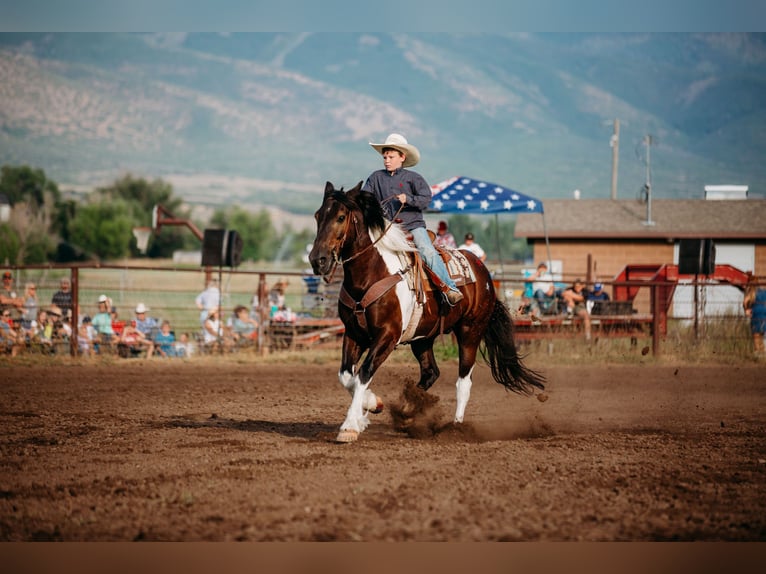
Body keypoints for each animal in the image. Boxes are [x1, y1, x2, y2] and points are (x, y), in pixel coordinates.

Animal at [308, 182, 544, 444]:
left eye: (341, 217)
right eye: (318, 215)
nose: (318, 260)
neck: (371, 275)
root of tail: (483, 271)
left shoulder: (387, 336)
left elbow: (363, 373)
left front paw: (350, 426)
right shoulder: (353, 334)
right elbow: (346, 375)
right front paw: (371, 406)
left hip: (470, 331)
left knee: (464, 381)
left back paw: (456, 427)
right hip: (422, 338)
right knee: (431, 373)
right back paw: (409, 412)